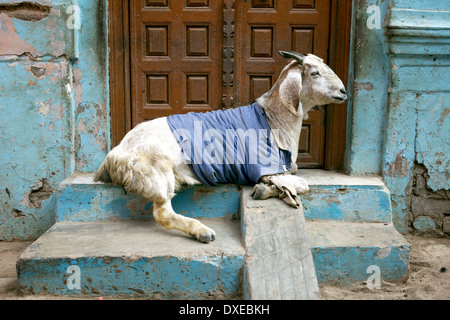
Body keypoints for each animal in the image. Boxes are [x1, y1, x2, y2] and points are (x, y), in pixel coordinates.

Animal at [95, 51, 348, 244]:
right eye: (314, 73)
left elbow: (294, 177)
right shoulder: (266, 165)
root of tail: (114, 155)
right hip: (156, 171)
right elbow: (301, 184)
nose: (343, 92)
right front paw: (265, 190)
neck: (273, 120)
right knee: (162, 213)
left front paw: (265, 190)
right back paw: (201, 231)